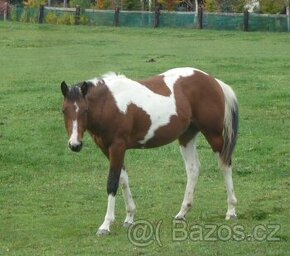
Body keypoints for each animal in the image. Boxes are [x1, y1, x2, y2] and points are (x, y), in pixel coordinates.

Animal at [60, 67, 239, 235]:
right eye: (64, 110)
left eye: (85, 110)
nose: (75, 145)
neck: (109, 103)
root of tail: (212, 80)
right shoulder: (107, 149)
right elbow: (123, 178)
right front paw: (129, 216)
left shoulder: (117, 147)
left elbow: (112, 182)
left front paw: (106, 225)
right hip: (186, 136)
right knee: (193, 169)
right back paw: (182, 212)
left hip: (214, 135)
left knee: (225, 164)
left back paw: (231, 210)